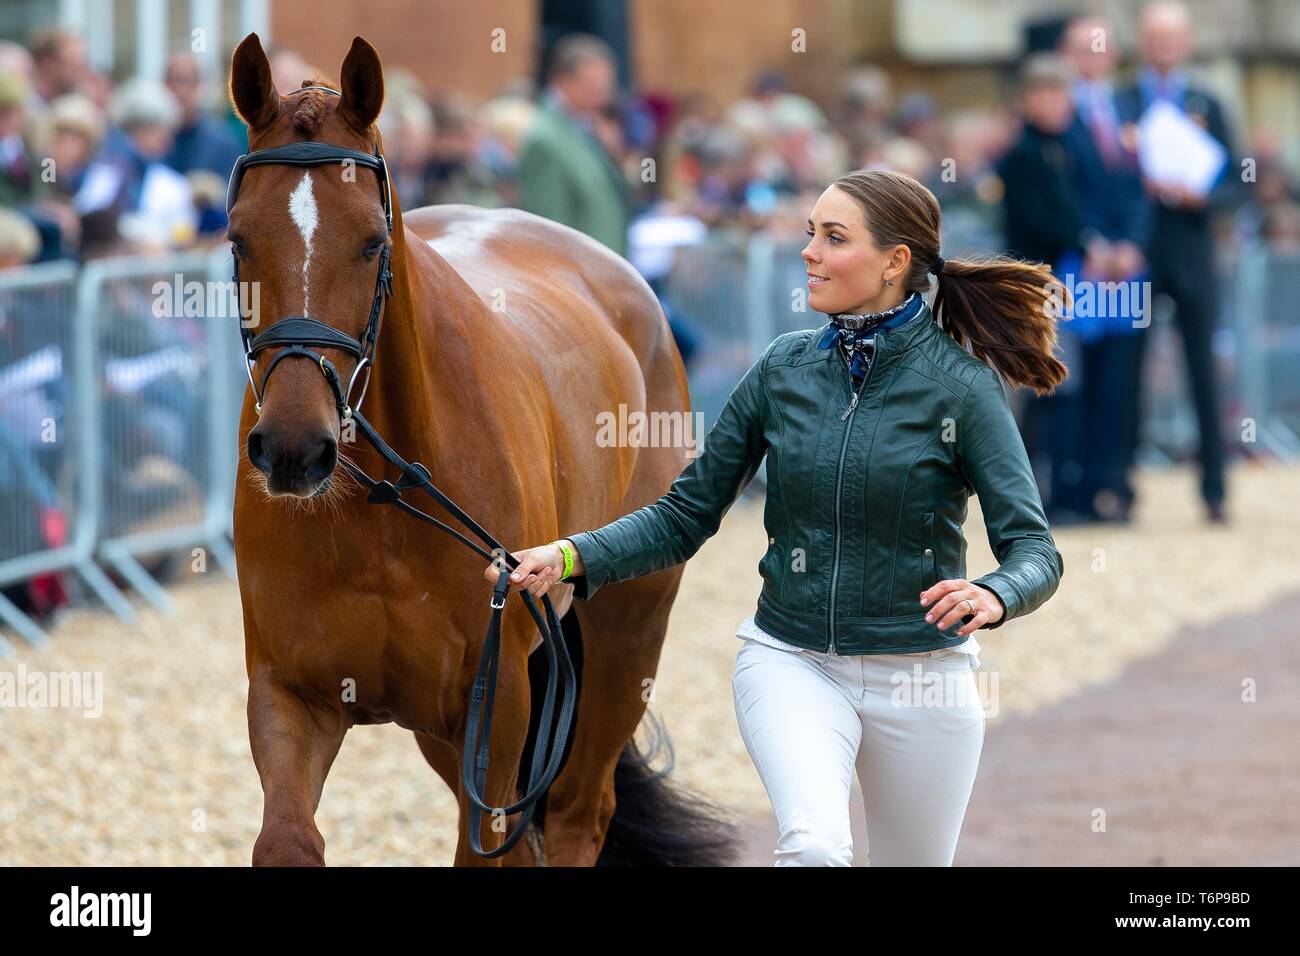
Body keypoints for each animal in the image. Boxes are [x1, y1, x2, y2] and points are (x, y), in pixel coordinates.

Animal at [228, 33, 738, 863]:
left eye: (372, 242)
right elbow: (286, 840)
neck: (381, 501)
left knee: (577, 812)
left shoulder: (496, 706)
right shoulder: (290, 692)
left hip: (628, 633)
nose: (294, 450)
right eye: (239, 238)